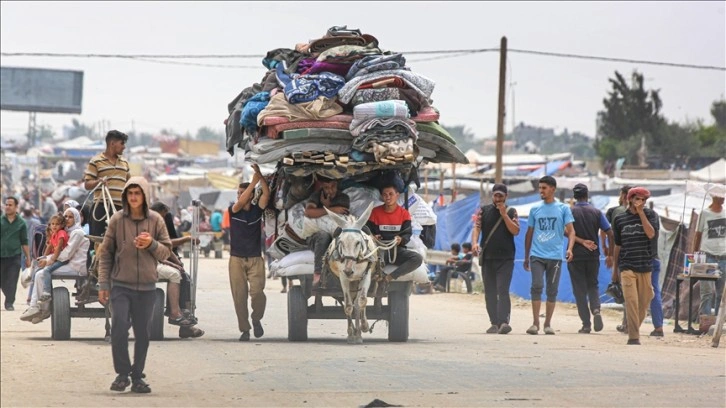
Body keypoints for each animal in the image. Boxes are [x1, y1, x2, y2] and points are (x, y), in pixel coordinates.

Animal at [326, 204, 378, 344]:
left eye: (358, 242)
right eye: (341, 242)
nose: (349, 270)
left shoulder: (366, 275)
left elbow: (362, 301)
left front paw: (363, 329)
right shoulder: (343, 277)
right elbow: (348, 306)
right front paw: (350, 334)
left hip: (357, 280)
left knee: (358, 303)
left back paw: (359, 331)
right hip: (351, 282)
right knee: (350, 302)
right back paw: (354, 332)